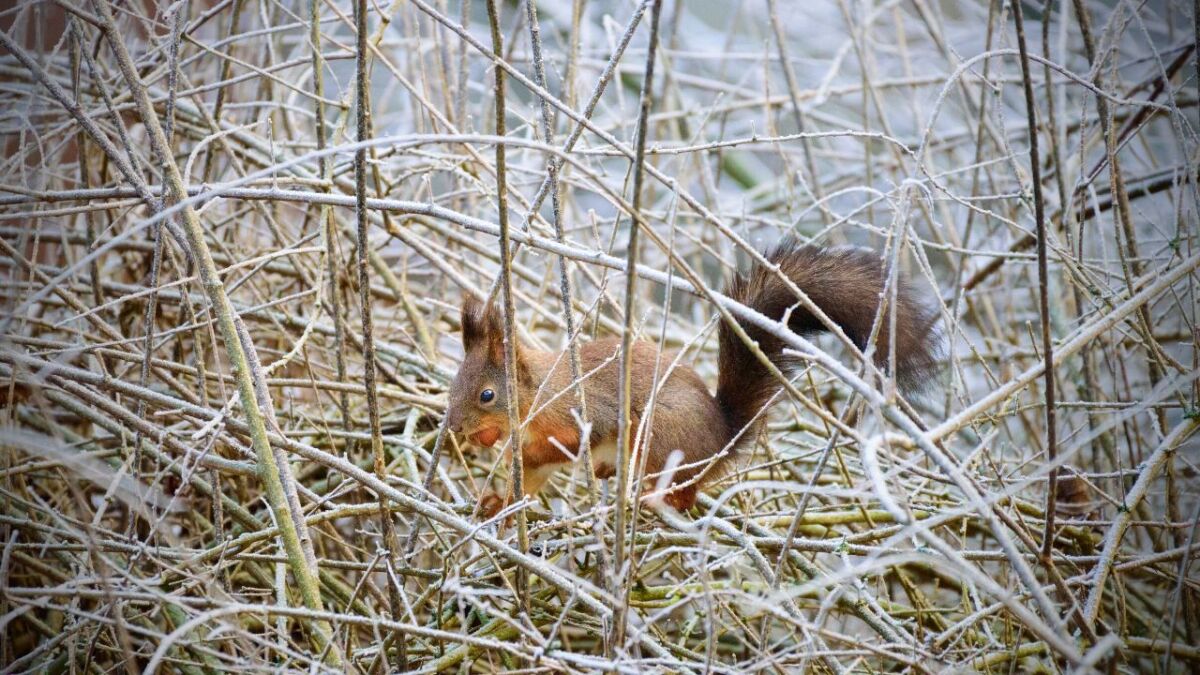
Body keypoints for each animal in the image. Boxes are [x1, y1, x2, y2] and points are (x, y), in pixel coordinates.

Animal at [444, 237, 936, 514]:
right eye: (453, 386)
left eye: (486, 395)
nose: (453, 428)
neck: (534, 397)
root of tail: (721, 439)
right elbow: (528, 481)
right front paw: (498, 502)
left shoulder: (578, 410)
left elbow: (575, 439)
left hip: (659, 435)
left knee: (686, 492)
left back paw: (654, 499)